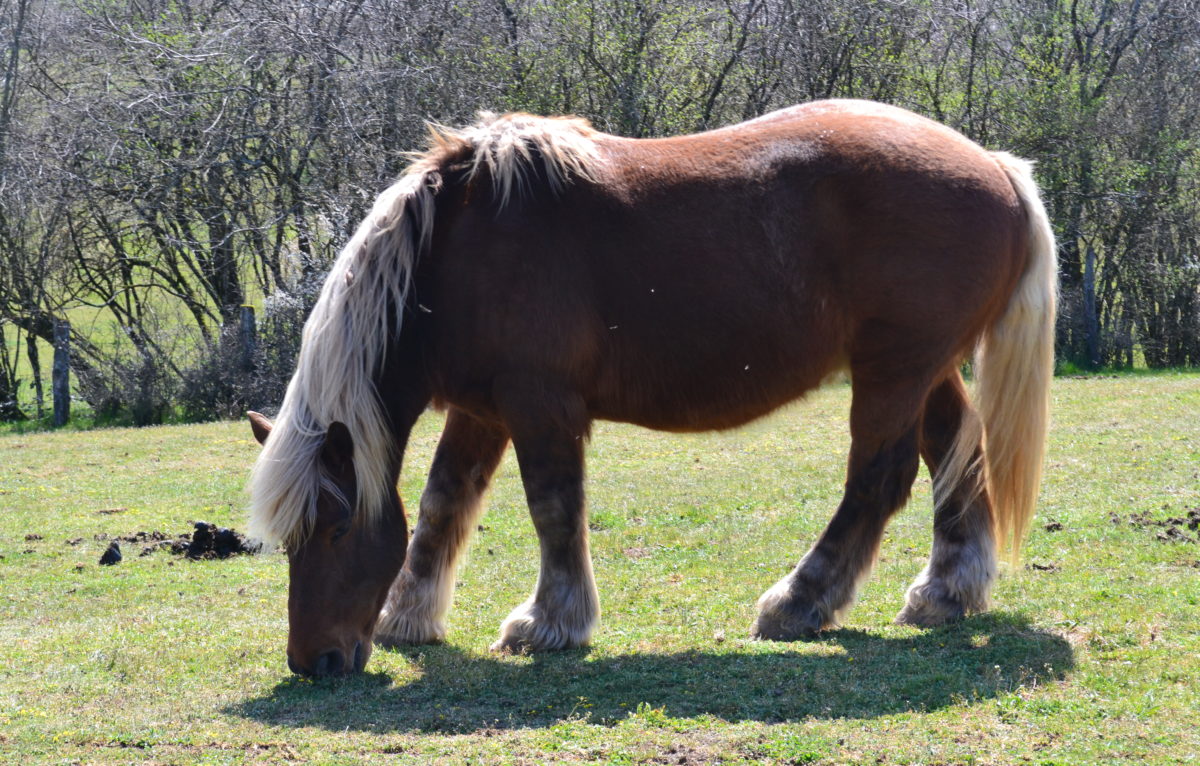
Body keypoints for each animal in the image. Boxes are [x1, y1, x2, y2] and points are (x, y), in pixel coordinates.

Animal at [248, 100, 1056, 677]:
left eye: (336, 527)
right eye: (290, 538)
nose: (315, 662)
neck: (455, 254)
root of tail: (994, 166)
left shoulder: (541, 407)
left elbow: (552, 508)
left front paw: (550, 623)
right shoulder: (483, 411)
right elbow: (443, 504)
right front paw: (410, 617)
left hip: (893, 373)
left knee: (877, 482)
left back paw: (799, 603)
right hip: (923, 371)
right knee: (956, 457)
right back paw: (945, 593)